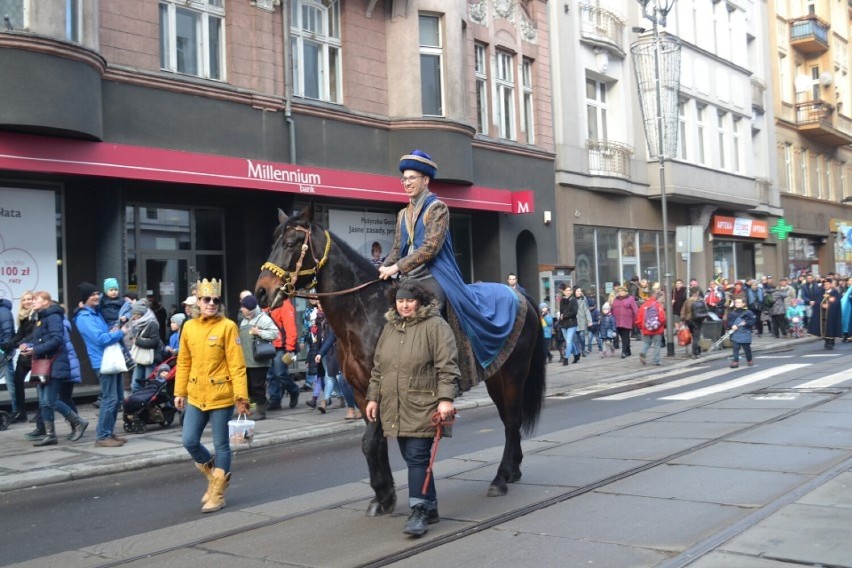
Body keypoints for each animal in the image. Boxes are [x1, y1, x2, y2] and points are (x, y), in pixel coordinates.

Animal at [253, 206, 544, 516]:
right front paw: (384, 495)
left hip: (514, 374)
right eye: (273, 242)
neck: (365, 312)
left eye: (291, 243)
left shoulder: (382, 386)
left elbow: (370, 442)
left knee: (512, 419)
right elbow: (376, 443)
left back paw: (500, 479)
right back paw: (513, 470)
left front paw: (383, 493)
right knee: (508, 419)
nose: (260, 292)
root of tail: (520, 295)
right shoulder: (361, 391)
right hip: (496, 376)